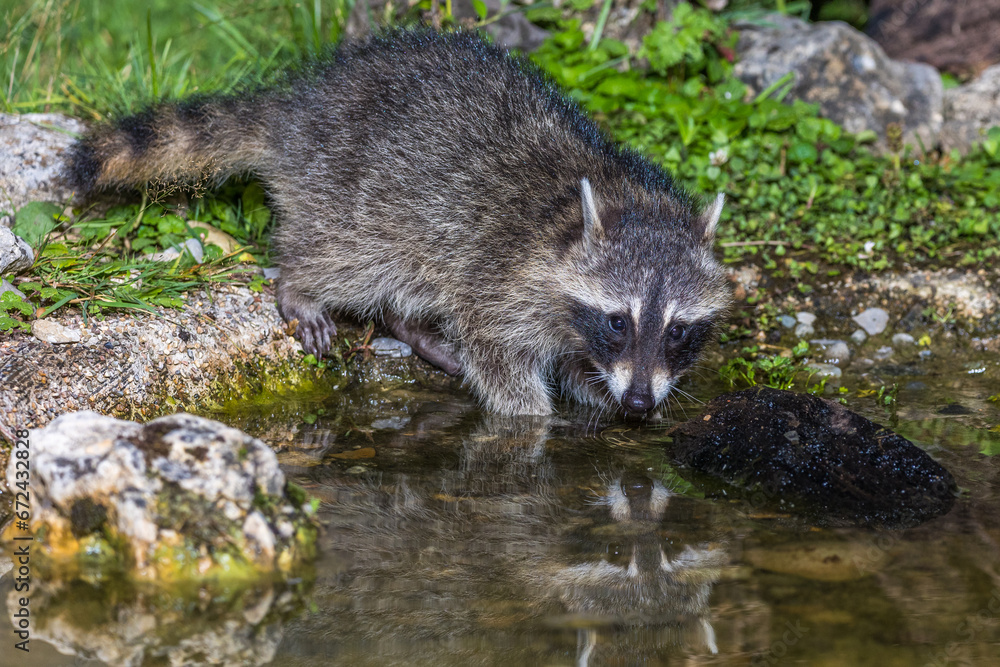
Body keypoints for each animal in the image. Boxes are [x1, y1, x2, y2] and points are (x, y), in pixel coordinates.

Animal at [66, 31, 732, 420]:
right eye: (619, 321)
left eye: (678, 331)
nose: (640, 402)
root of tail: (300, 107)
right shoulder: (500, 275)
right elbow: (498, 355)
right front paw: (537, 420)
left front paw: (600, 389)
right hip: (350, 193)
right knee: (347, 257)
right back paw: (304, 286)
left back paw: (408, 325)